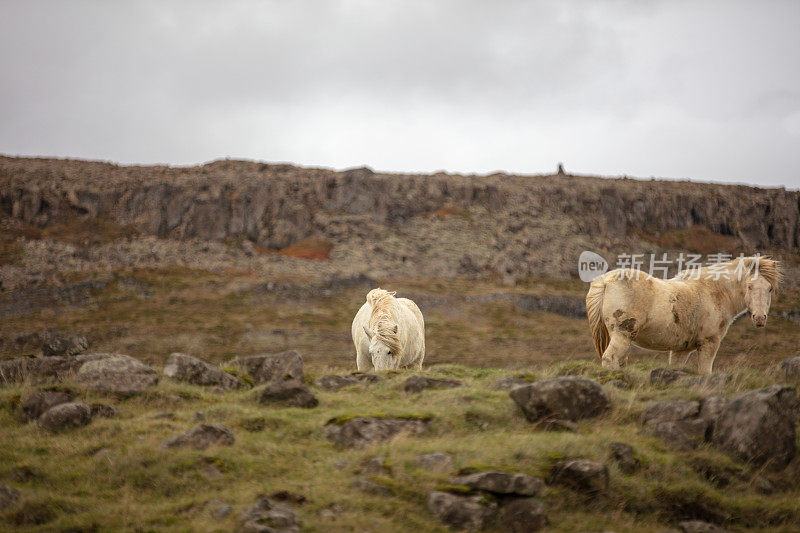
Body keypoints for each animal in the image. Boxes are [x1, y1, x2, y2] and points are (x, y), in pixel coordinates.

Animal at [584, 256, 780, 374]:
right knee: (610, 359)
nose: (760, 318)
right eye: (749, 286)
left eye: (770, 289)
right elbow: (705, 372)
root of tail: (606, 281)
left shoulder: (681, 350)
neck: (713, 292)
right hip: (622, 334)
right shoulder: (709, 343)